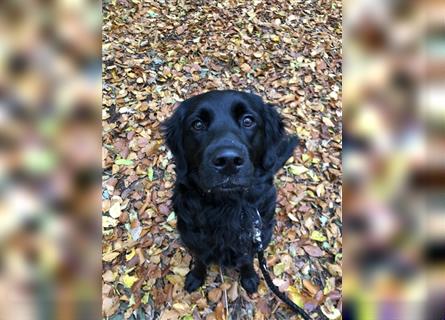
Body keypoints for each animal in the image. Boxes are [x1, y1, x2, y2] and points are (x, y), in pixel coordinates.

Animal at [161, 89, 296, 292]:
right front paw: (196, 276)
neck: (226, 205)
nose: (228, 161)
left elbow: (247, 259)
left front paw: (249, 276)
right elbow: (200, 260)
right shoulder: (194, 239)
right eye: (197, 124)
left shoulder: (254, 238)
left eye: (248, 121)